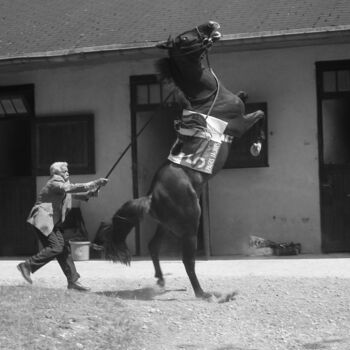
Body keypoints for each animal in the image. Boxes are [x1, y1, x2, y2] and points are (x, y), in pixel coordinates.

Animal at [101, 22, 266, 300]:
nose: (210, 25)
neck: (208, 97)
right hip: (189, 226)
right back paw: (204, 294)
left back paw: (161, 280)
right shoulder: (239, 124)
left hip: (166, 225)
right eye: (185, 39)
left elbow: (249, 100)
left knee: (154, 246)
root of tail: (151, 197)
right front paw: (256, 145)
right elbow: (259, 114)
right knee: (187, 260)